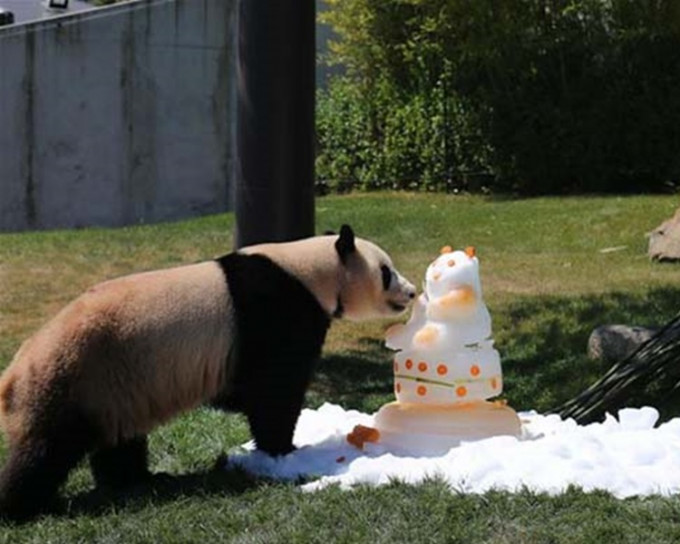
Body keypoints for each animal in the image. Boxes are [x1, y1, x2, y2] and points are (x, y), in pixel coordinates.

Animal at [0, 224, 414, 520]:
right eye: (386, 272)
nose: (410, 293)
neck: (310, 269)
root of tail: (14, 373)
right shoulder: (273, 310)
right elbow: (272, 387)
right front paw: (285, 450)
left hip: (117, 383)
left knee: (118, 438)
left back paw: (138, 480)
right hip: (77, 375)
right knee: (48, 448)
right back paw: (23, 507)